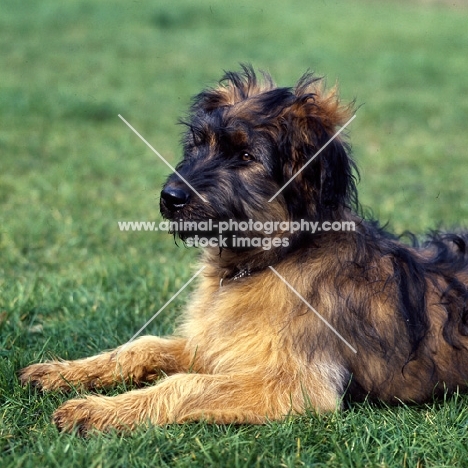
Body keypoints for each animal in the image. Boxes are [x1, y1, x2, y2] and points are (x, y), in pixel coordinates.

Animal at [20, 64, 468, 434]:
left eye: (247, 155)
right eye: (199, 144)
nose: (170, 197)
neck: (271, 259)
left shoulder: (295, 383)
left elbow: (182, 384)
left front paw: (95, 410)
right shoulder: (212, 344)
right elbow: (142, 346)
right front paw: (62, 373)